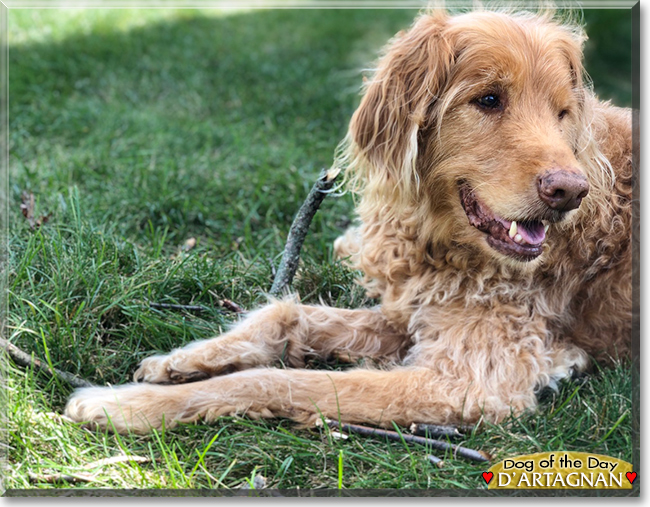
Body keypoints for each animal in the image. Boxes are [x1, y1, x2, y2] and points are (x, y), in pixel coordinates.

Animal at [63, 9, 632, 434]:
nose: (569, 190)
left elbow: (277, 380)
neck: (441, 241)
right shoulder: (409, 313)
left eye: (562, 113)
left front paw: (126, 404)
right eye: (489, 99)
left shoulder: (468, 383)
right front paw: (185, 359)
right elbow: (287, 314)